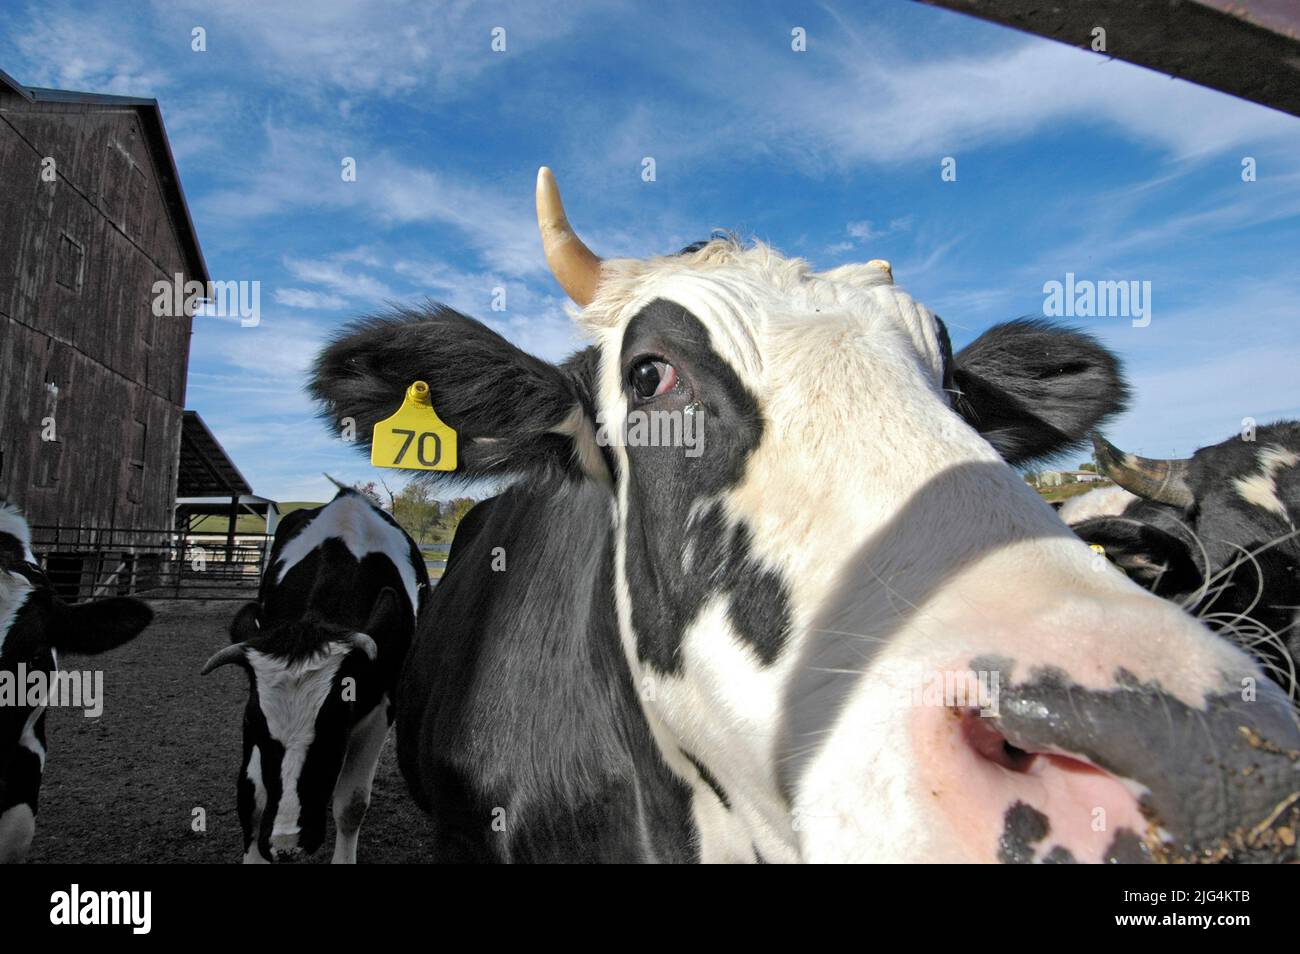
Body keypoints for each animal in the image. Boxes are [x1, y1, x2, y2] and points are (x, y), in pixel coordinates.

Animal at [200, 485, 428, 863]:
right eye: (252, 724)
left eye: (337, 727)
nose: (286, 842)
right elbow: (251, 798)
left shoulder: (381, 709)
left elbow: (351, 804)